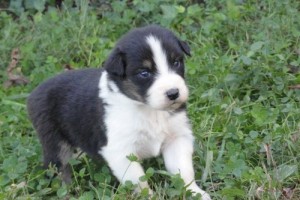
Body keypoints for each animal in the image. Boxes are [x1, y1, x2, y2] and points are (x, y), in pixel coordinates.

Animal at [27, 25, 211, 200]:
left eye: (176, 63)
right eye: (144, 73)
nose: (173, 93)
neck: (149, 110)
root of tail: (33, 94)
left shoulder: (177, 137)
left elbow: (183, 171)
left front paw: (196, 193)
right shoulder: (120, 151)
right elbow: (138, 181)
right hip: (54, 141)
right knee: (57, 170)